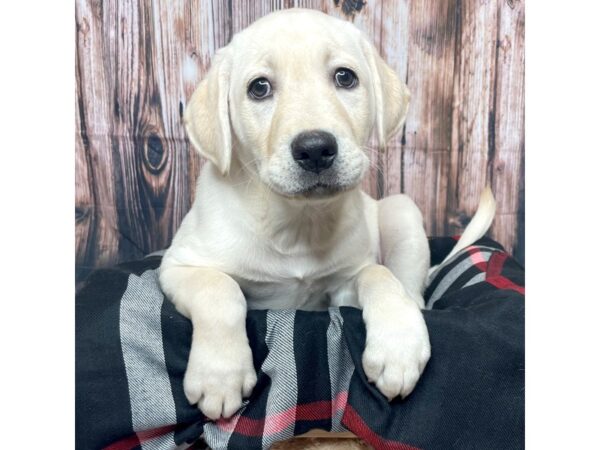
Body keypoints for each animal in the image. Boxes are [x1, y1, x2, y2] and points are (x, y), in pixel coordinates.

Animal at [158, 7, 492, 422]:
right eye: (259, 88)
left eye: (344, 77)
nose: (316, 148)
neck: (297, 222)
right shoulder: (178, 265)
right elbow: (219, 290)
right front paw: (219, 374)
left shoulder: (342, 289)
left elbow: (377, 274)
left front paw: (398, 343)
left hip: (401, 210)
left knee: (411, 287)